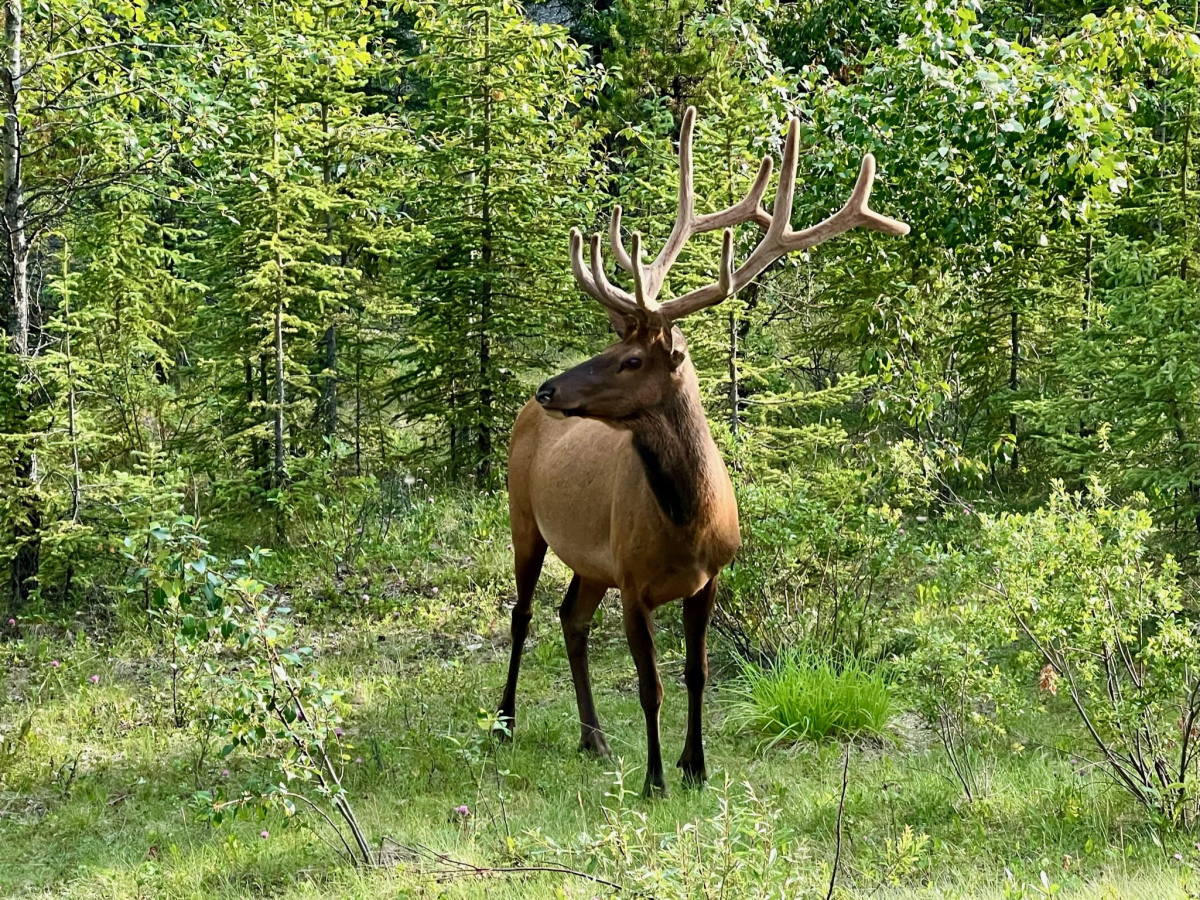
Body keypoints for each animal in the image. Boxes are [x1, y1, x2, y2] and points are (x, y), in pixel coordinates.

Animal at [499, 107, 907, 796]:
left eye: (632, 359)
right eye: (614, 347)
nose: (547, 388)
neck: (687, 523)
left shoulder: (707, 579)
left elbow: (696, 675)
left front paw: (695, 767)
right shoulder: (634, 582)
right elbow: (651, 687)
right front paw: (656, 779)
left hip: (590, 562)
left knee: (569, 618)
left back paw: (594, 739)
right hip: (525, 519)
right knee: (522, 614)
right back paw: (504, 723)